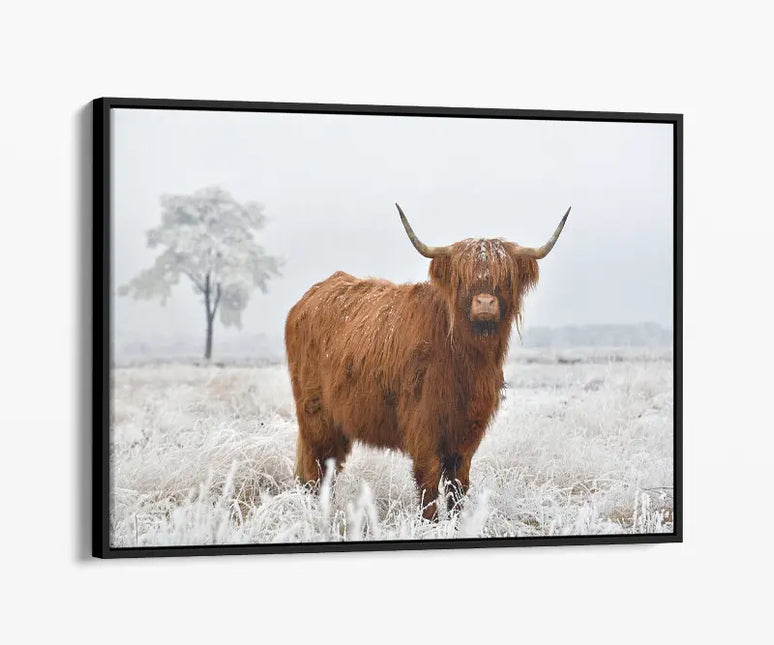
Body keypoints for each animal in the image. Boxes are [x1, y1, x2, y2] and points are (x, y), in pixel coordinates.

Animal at [285, 204, 570, 519]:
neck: (466, 363)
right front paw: (431, 523)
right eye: (461, 277)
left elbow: (458, 485)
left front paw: (457, 522)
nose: (484, 303)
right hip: (315, 415)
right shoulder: (423, 426)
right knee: (316, 469)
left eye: (505, 277)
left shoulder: (467, 432)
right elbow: (429, 484)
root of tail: (311, 295)